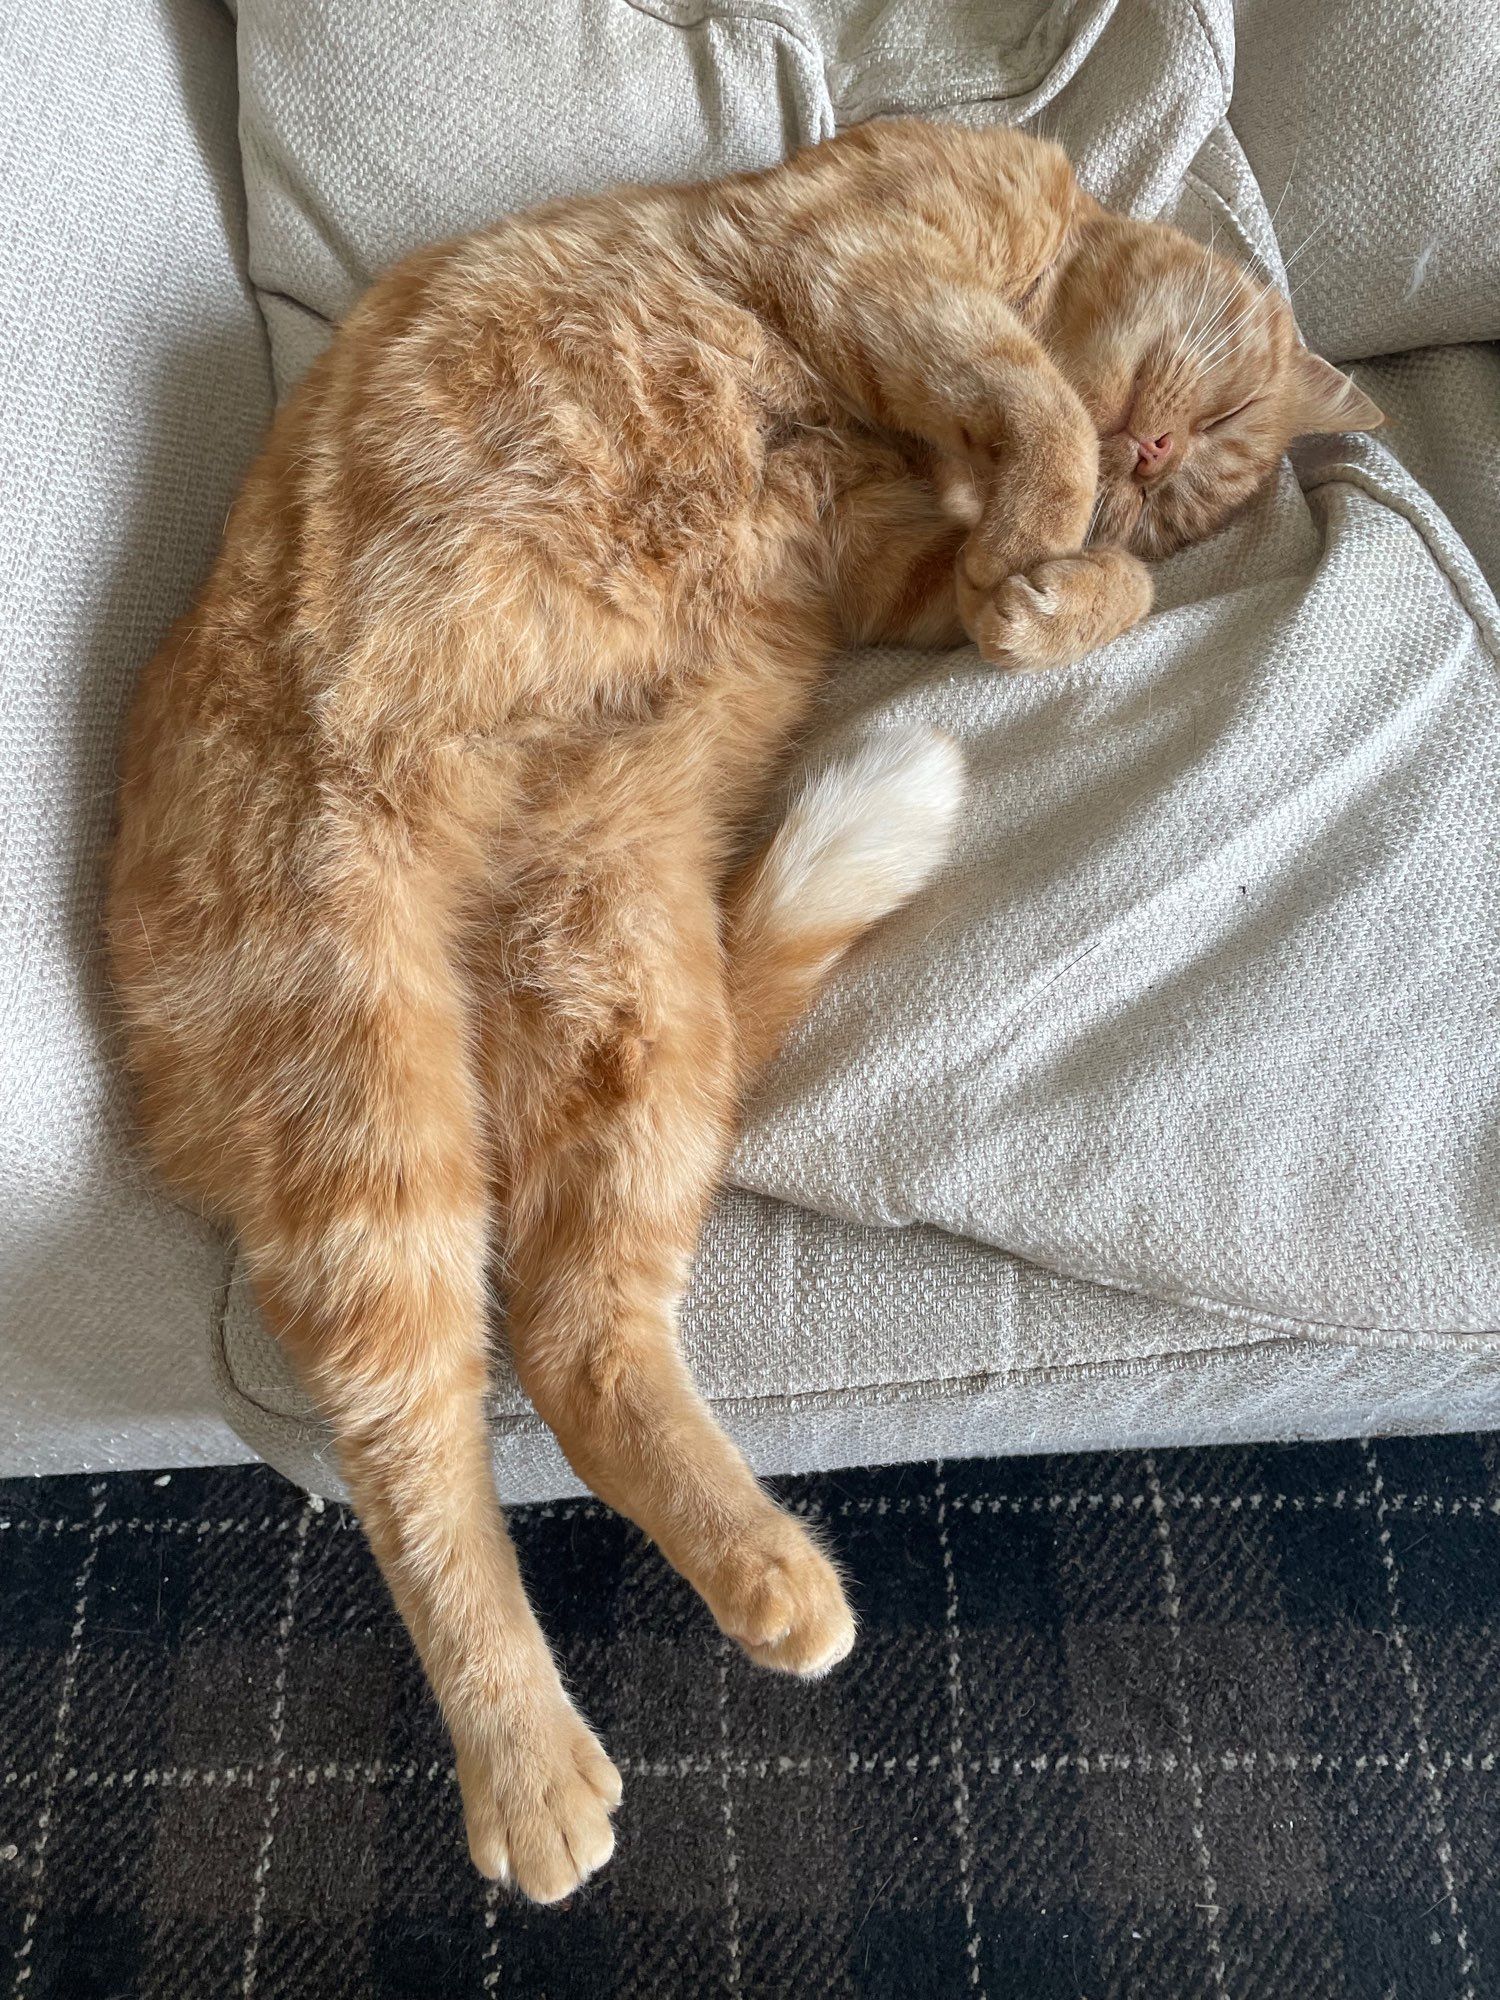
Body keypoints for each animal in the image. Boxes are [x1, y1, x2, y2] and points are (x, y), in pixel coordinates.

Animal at [108, 117, 1384, 1896]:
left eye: (1195, 484)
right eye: (1206, 431)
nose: (1148, 463)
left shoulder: (892, 566)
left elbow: (1034, 576)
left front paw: (1055, 589)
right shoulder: (865, 255)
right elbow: (1035, 403)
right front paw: (1056, 509)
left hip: (614, 993)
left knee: (571, 1342)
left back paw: (765, 1587)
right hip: (357, 1068)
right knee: (413, 1440)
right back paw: (531, 1764)